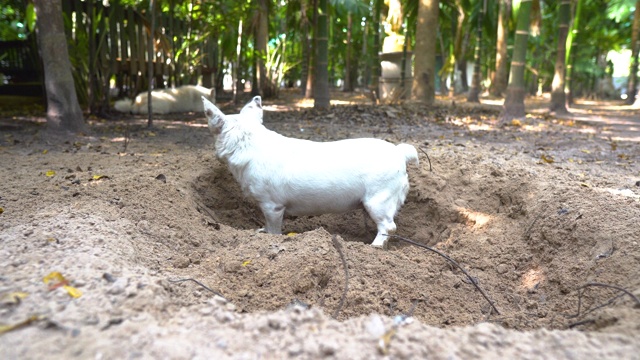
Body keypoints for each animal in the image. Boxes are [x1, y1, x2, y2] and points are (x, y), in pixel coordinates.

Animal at [202, 95, 418, 248]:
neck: (248, 142)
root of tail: (399, 152)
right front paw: (260, 231)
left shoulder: (272, 206)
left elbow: (274, 229)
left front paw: (269, 238)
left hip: (379, 199)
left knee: (388, 226)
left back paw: (375, 247)